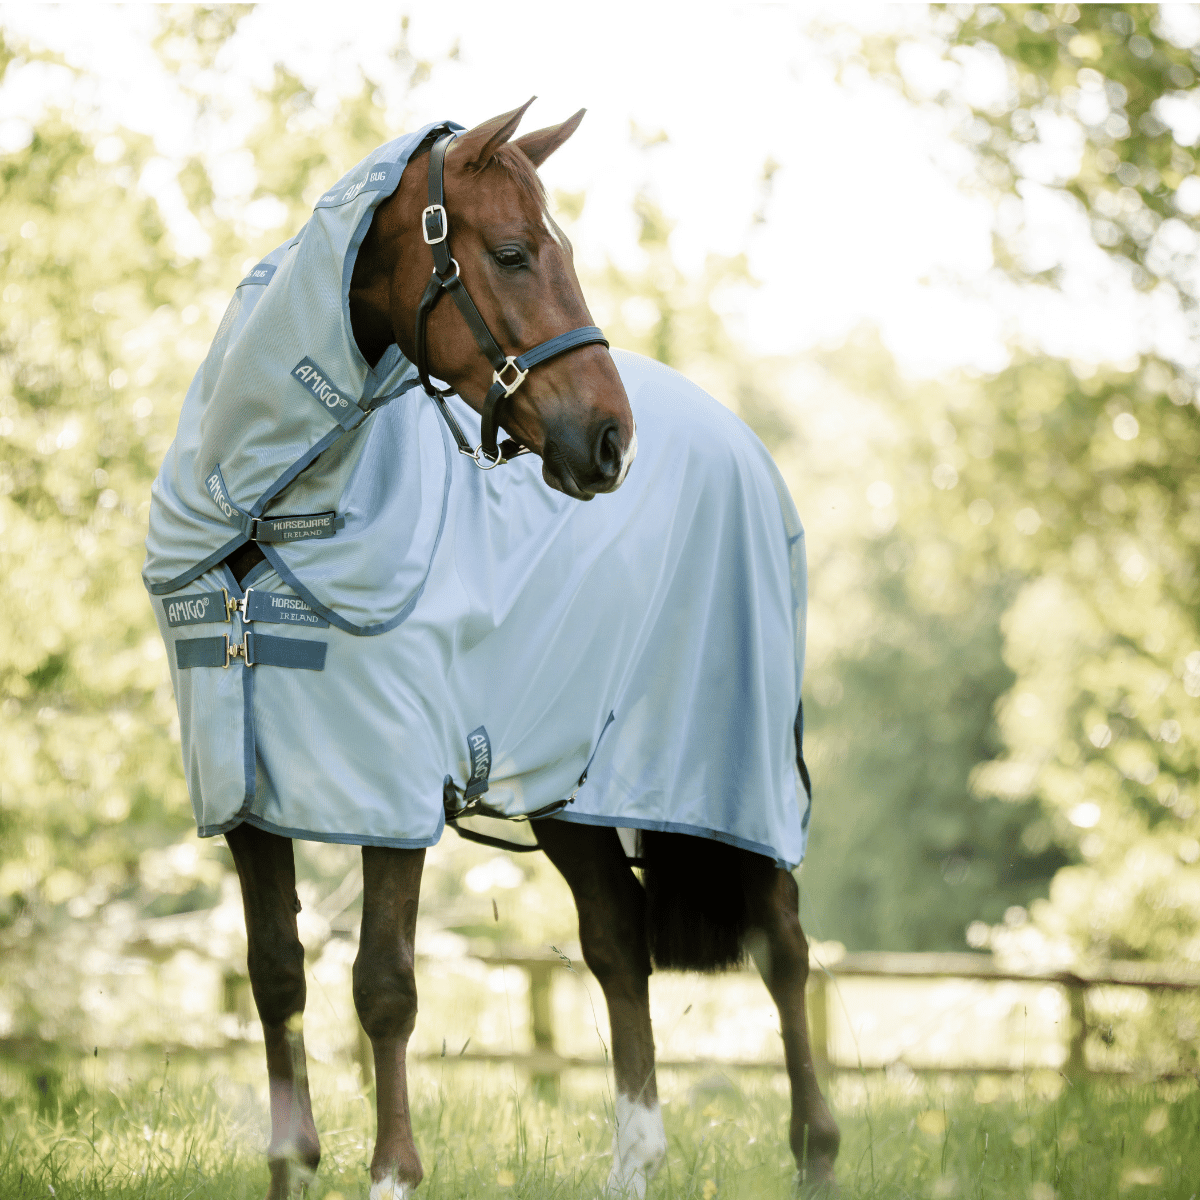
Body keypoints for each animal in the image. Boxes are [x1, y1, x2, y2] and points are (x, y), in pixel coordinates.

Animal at [146, 99, 839, 1199]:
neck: (263, 519)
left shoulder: (389, 790)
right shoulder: (245, 796)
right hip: (571, 788)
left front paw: (392, 1175)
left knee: (783, 946)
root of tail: (745, 449)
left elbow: (383, 986)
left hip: (732, 776)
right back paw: (634, 1165)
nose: (609, 441)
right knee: (618, 940)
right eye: (513, 253)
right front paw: (293, 1165)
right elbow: (276, 978)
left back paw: (815, 1152)